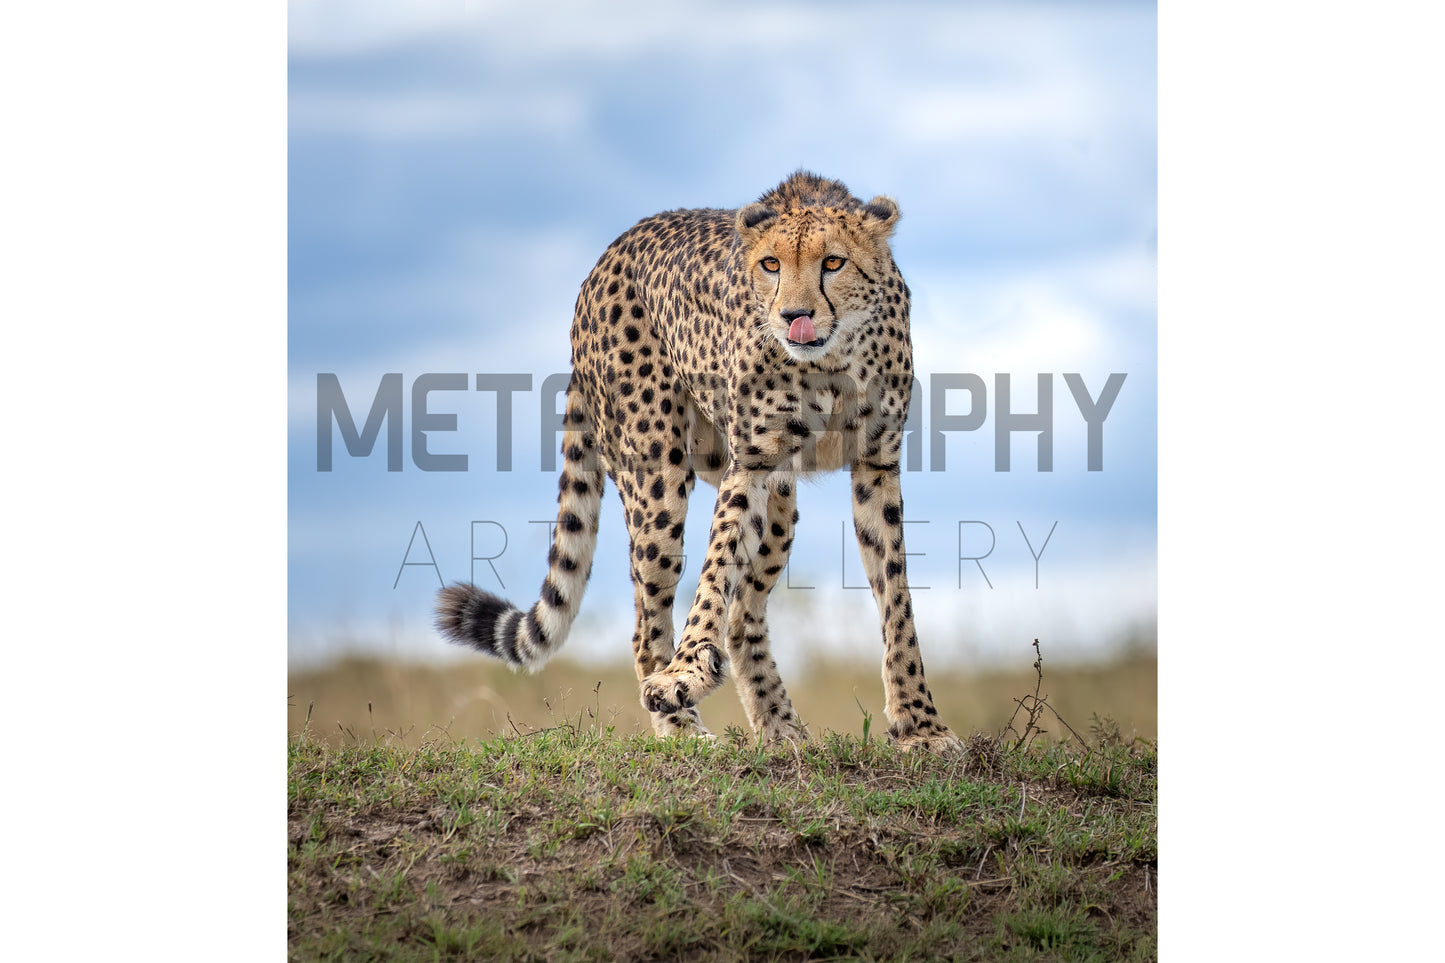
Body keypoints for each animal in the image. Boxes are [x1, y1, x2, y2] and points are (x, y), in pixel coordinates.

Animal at [436, 171, 962, 754]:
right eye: (770, 265)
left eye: (833, 262)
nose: (794, 317)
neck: (831, 360)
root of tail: (607, 256)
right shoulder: (750, 463)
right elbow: (715, 566)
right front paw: (684, 674)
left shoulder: (876, 464)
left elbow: (896, 597)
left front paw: (920, 725)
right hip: (657, 480)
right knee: (648, 618)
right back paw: (682, 730)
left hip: (778, 507)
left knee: (743, 616)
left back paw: (783, 731)